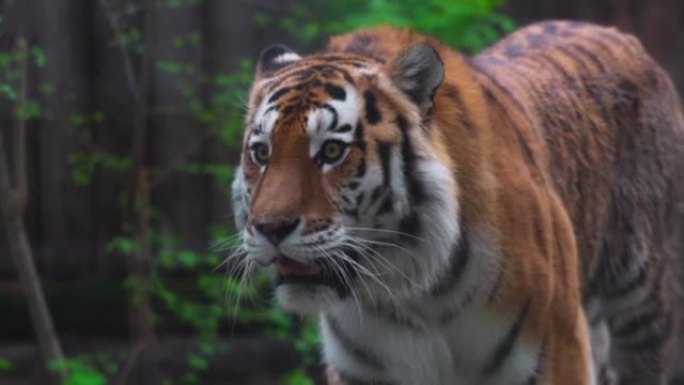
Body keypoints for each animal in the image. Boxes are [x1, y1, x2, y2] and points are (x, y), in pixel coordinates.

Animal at [231, 21, 684, 384]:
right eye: (262, 153)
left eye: (331, 151)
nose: (270, 228)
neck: (409, 294)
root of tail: (622, 37)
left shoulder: (559, 348)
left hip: (643, 305)